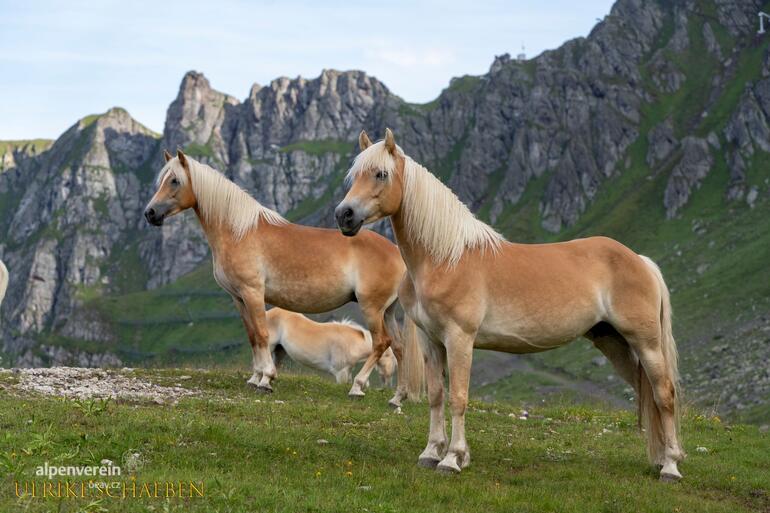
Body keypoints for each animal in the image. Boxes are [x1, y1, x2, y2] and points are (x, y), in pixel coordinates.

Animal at [264, 308, 396, 384]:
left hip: (280, 350)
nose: (388, 381)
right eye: (390, 357)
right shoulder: (340, 373)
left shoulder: (347, 371)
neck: (352, 344)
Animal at [336, 128, 684, 480]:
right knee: (647, 393)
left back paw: (670, 465)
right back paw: (660, 458)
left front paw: (452, 458)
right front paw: (431, 452)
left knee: (664, 394)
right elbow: (436, 396)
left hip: (646, 343)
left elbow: (458, 397)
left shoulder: (460, 339)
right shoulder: (430, 340)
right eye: (354, 175)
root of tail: (639, 260)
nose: (344, 215)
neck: (445, 258)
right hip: (614, 344)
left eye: (380, 174)